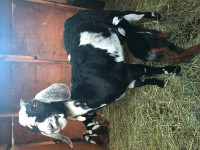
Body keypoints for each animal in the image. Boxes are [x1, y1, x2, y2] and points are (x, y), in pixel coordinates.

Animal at [18, 9, 200, 148]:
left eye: (36, 104)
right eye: (32, 129)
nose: (50, 127)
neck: (84, 97)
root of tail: (71, 18)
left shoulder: (127, 70)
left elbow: (150, 69)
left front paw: (174, 70)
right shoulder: (129, 81)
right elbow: (145, 78)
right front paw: (161, 82)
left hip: (111, 13)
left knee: (135, 14)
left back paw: (157, 16)